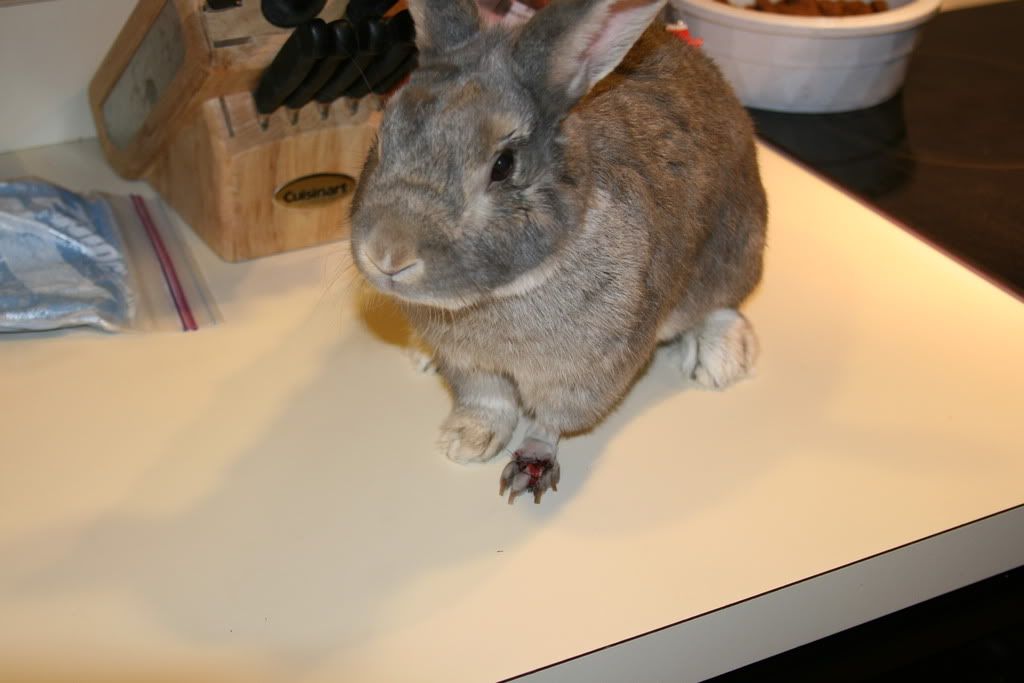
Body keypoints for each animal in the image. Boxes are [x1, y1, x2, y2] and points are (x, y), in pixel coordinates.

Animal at [350, 0, 767, 504]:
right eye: (382, 138)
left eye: (503, 165)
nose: (387, 255)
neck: (499, 297)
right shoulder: (471, 367)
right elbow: (488, 402)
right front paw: (467, 439)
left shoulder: (583, 375)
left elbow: (550, 422)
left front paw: (530, 461)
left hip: (735, 246)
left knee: (724, 302)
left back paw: (720, 360)